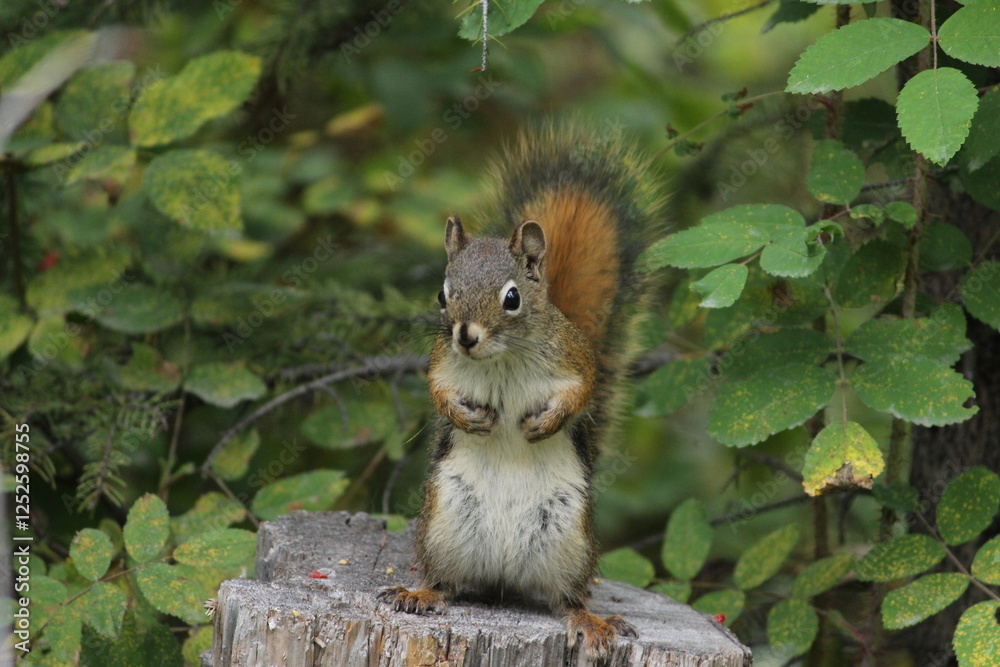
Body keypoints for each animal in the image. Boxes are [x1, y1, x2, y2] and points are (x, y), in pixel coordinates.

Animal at [380, 124, 660, 660]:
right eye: (442, 294)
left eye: (511, 298)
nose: (465, 335)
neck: (502, 358)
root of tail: (503, 581)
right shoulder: (443, 362)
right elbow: (439, 390)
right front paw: (468, 418)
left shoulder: (574, 359)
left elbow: (583, 393)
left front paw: (542, 423)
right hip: (445, 522)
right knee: (447, 582)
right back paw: (421, 593)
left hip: (568, 539)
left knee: (565, 598)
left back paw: (587, 619)